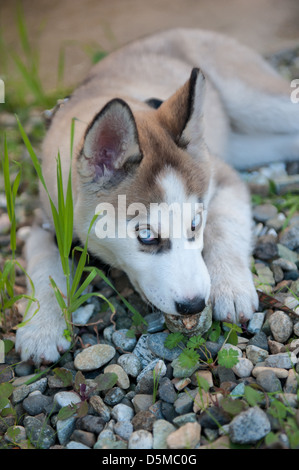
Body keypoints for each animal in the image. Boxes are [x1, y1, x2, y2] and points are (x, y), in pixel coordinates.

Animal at [15, 27, 299, 366]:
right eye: (147, 236)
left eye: (195, 225)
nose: (193, 305)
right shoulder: (45, 220)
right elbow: (43, 265)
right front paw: (40, 328)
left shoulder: (224, 177)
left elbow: (224, 227)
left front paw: (230, 287)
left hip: (256, 102)